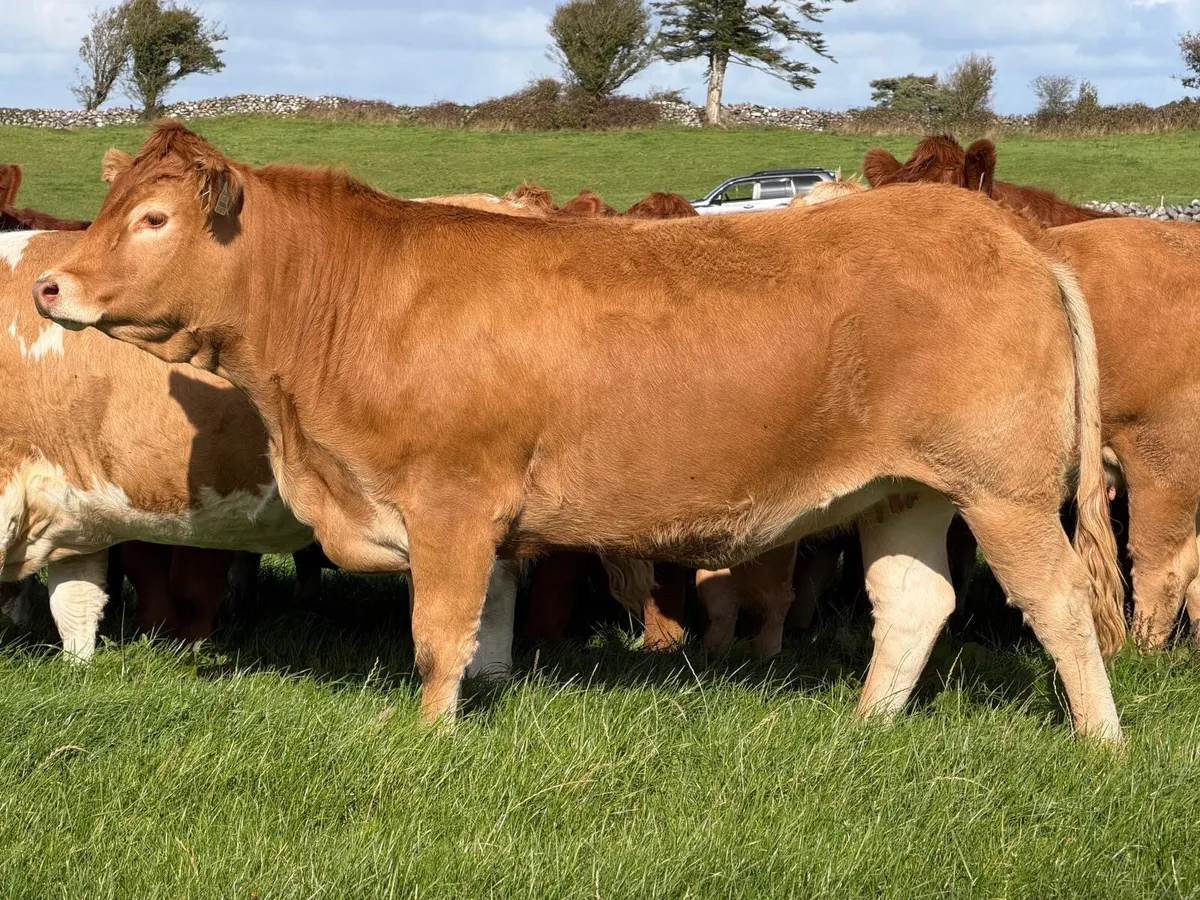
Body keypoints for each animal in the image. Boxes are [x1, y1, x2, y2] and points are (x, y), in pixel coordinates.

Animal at [37, 122, 1126, 742]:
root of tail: (1008, 235)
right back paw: (865, 729)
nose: (49, 284)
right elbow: (484, 628)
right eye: (112, 204)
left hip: (1004, 491)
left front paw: (427, 738)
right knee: (912, 603)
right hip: (904, 490)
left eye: (156, 220)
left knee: (1059, 603)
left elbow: (437, 635)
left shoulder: (451, 501)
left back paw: (1100, 742)